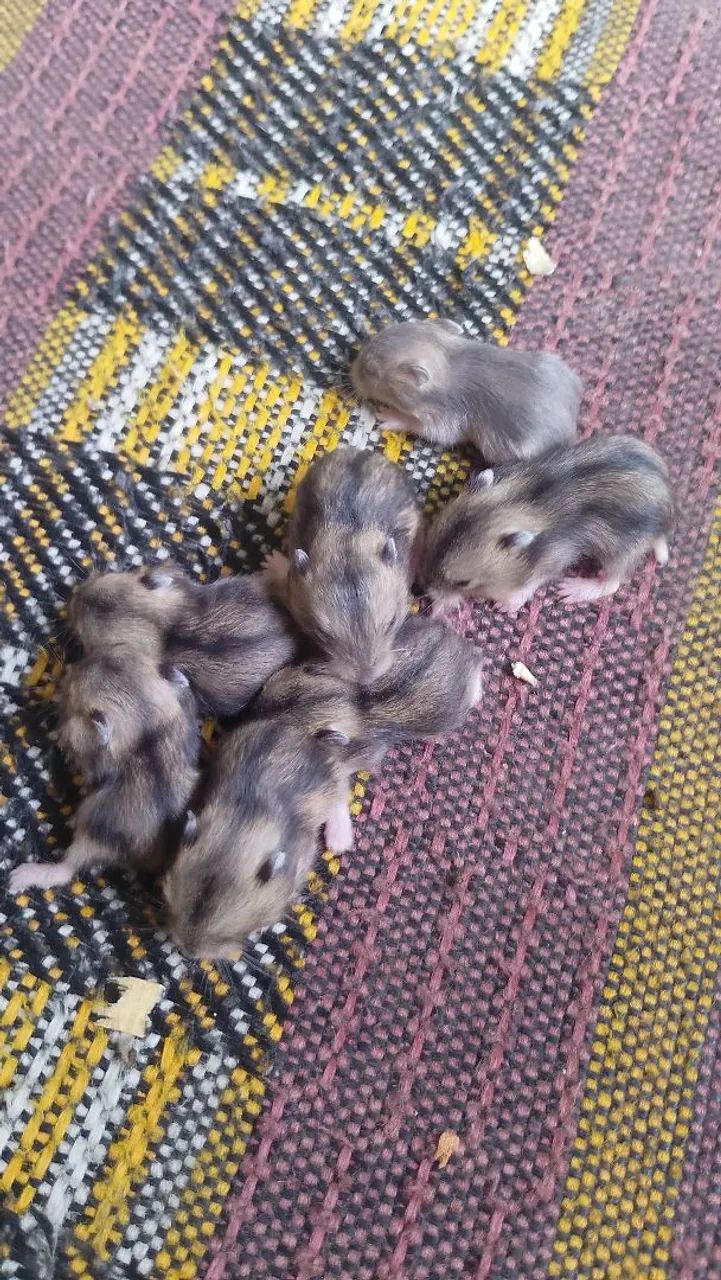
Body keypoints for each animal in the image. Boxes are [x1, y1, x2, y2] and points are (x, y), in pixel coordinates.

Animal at [9, 643, 200, 893]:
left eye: (73, 694)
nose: (69, 670)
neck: (145, 723)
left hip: (90, 834)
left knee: (66, 870)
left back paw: (17, 877)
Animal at [163, 719, 355, 958]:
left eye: (229, 935)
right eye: (169, 902)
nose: (189, 953)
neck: (238, 830)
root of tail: (312, 738)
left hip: (333, 783)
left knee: (342, 796)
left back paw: (339, 842)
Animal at [266, 447, 421, 683]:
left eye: (392, 622)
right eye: (322, 633)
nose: (366, 679)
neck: (348, 542)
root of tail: (357, 451)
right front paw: (270, 559)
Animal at [350, 319, 582, 462]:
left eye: (370, 369)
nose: (350, 372)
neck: (447, 364)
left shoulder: (441, 418)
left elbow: (418, 425)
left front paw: (385, 415)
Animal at [421, 434, 673, 613]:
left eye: (463, 582)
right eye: (429, 547)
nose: (422, 591)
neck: (516, 502)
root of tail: (667, 519)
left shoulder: (556, 557)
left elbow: (533, 582)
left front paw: (504, 605)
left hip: (622, 552)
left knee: (613, 582)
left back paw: (571, 589)